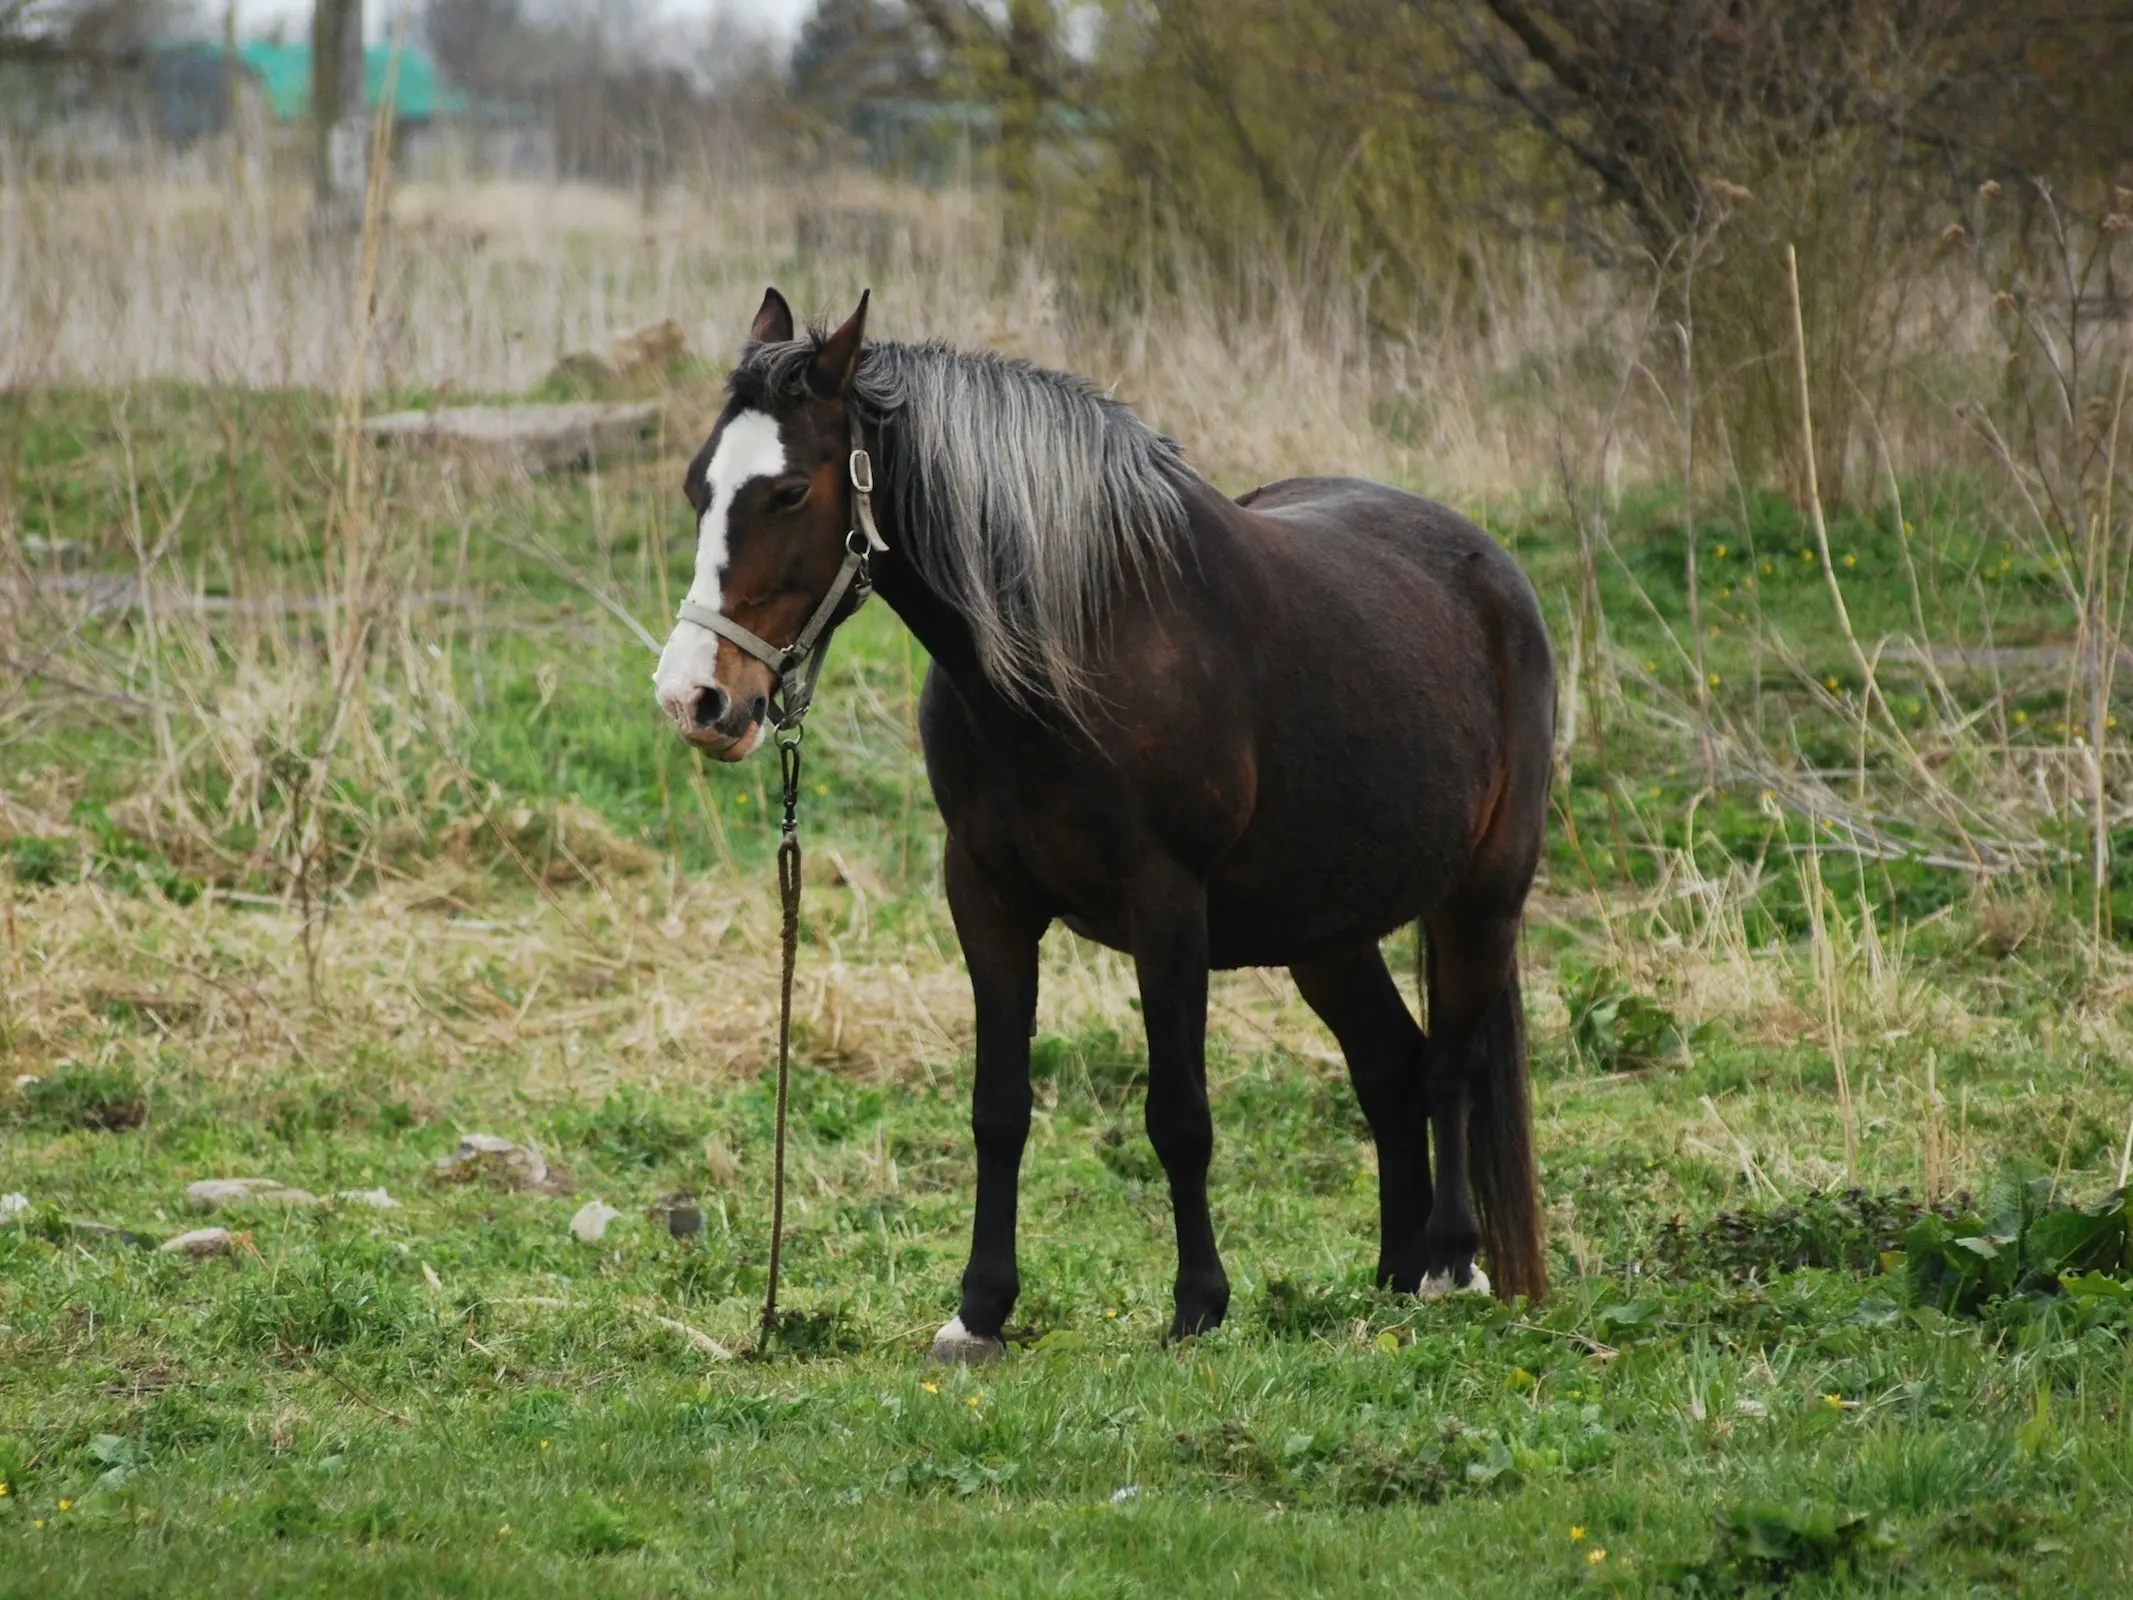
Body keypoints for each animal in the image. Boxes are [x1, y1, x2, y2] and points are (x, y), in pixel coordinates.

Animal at [656, 292, 1561, 1365]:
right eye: (697, 485)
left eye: (791, 491)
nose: (695, 698)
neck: (1069, 650)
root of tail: (1485, 564)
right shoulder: (986, 900)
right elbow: (998, 1109)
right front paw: (979, 1310)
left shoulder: (1164, 905)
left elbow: (1179, 1115)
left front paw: (1199, 1304)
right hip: (1325, 932)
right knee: (1393, 1067)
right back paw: (1392, 1268)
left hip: (1481, 897)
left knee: (1454, 1064)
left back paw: (1447, 1265)